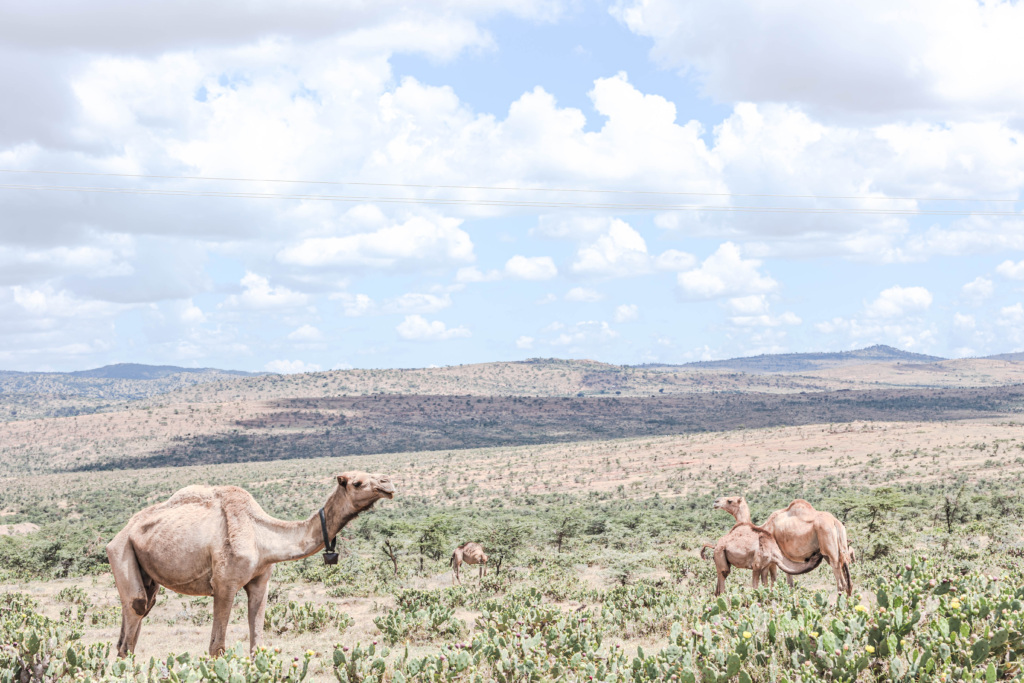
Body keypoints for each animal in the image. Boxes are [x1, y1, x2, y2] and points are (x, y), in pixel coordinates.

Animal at [108, 473, 393, 659]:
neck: (261, 535)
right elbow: (217, 647)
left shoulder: (260, 581)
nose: (388, 483)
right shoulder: (224, 584)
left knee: (135, 618)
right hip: (121, 550)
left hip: (145, 570)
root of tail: (123, 531)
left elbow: (257, 643)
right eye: (358, 482)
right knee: (135, 611)